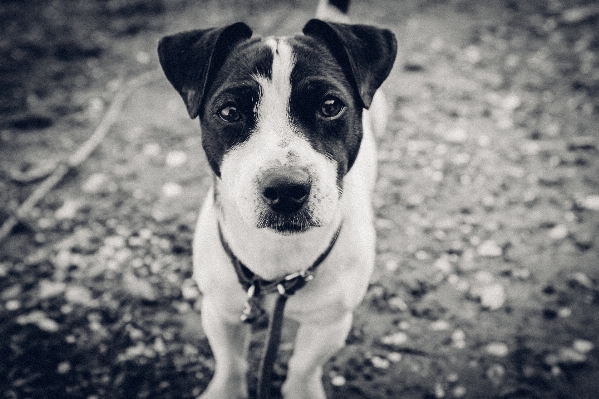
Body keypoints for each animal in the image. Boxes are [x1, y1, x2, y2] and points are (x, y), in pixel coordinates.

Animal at [157, 0, 396, 398]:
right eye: (230, 112)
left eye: (331, 106)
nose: (286, 188)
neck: (277, 264)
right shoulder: (221, 310)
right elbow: (230, 362)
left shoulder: (329, 322)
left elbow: (303, 366)